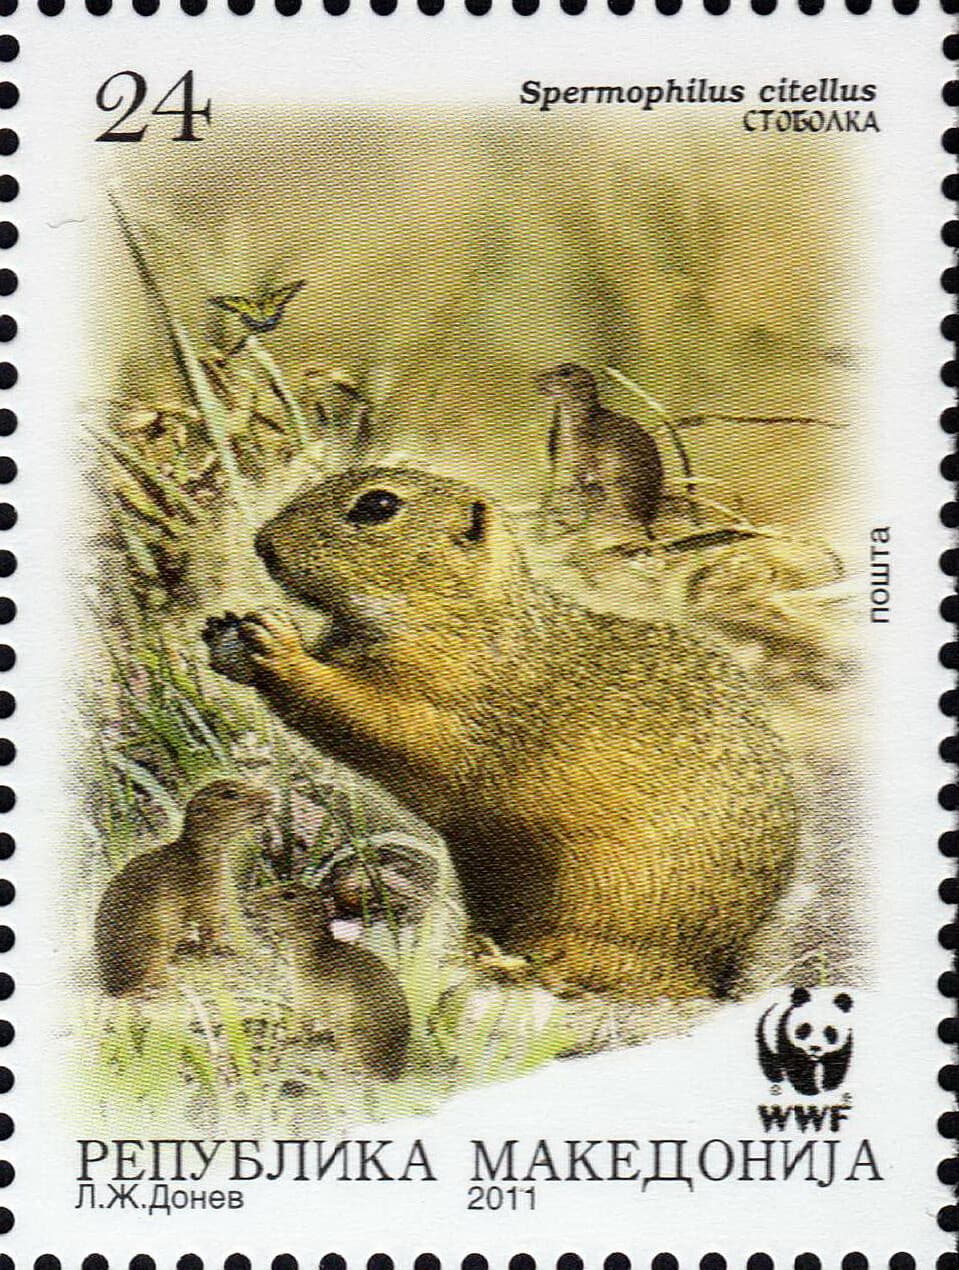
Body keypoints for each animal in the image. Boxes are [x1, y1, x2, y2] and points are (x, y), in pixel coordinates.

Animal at [95, 779, 273, 996]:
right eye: (230, 794)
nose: (270, 794)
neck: (195, 853)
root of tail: (111, 984)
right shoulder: (208, 904)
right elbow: (209, 934)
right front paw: (215, 952)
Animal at [204, 467, 799, 1001]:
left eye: (377, 505)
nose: (262, 544)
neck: (464, 613)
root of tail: (708, 973)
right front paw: (223, 634)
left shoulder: (445, 700)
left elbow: (367, 714)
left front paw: (279, 647)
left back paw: (509, 965)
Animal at [246, 882, 411, 1079]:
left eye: (289, 895)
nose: (250, 897)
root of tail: (393, 1070)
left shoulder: (304, 1001)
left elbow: (300, 1026)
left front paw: (288, 1037)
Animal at [535, 363, 664, 535]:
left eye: (564, 372)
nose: (535, 377)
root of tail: (648, 515)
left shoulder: (581, 453)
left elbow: (581, 475)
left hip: (615, 483)